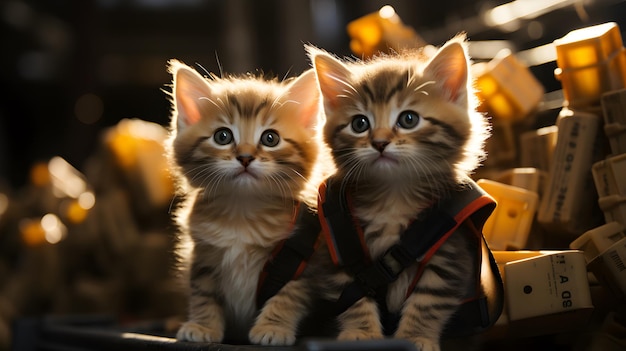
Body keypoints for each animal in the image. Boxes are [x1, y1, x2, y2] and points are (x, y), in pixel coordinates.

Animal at [163, 59, 324, 346]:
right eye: (223, 136)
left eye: (270, 138)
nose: (246, 157)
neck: (243, 213)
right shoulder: (203, 255)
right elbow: (204, 294)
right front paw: (203, 326)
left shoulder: (300, 261)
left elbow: (287, 296)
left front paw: (273, 327)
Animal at [306, 34, 488, 350]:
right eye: (359, 124)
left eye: (408, 119)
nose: (379, 143)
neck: (394, 197)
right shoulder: (337, 254)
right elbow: (352, 298)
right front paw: (362, 334)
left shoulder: (448, 255)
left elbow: (428, 302)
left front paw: (415, 337)